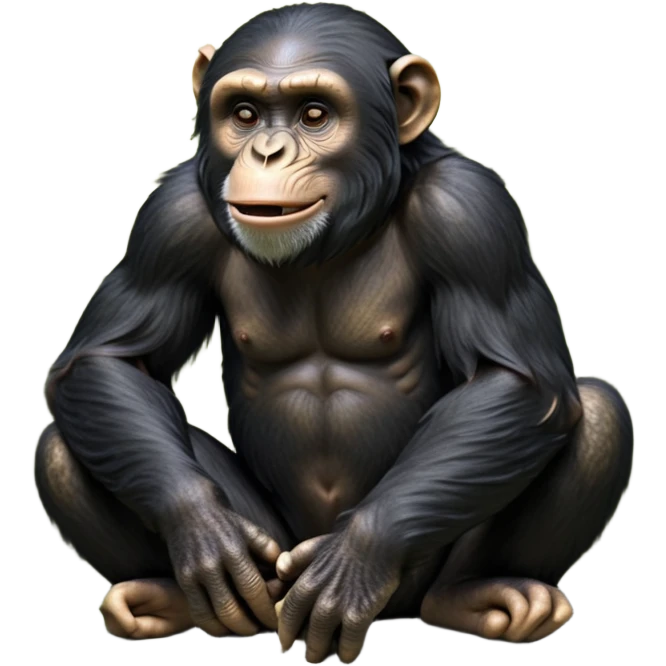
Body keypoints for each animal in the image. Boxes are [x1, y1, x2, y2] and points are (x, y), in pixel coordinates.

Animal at [33, 3, 634, 662]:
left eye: (315, 114)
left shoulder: (472, 214)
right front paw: (201, 527)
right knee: (61, 446)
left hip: (401, 576)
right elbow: (110, 361)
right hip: (272, 554)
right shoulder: (168, 223)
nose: (267, 152)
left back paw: (477, 595)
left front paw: (357, 556)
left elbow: (516, 380)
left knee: (597, 414)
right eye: (244, 114)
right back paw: (166, 599)